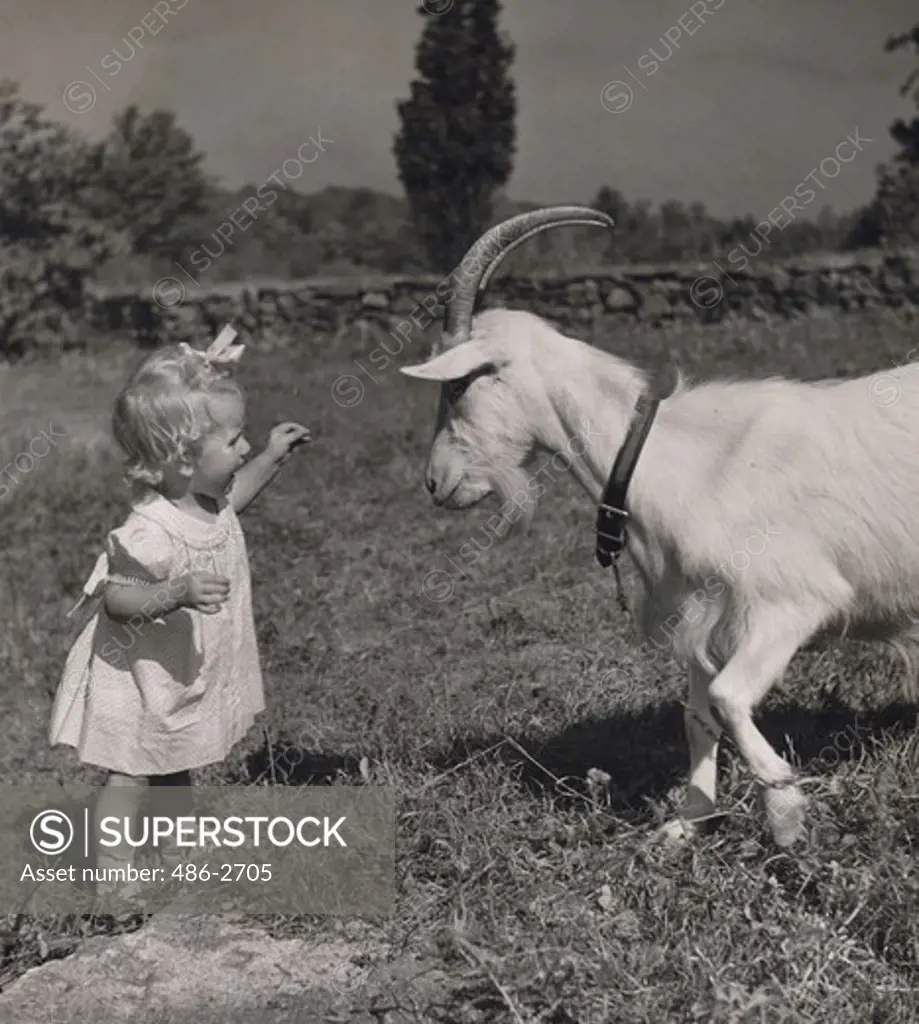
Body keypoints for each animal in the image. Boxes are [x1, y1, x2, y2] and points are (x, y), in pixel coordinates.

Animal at [401, 205, 917, 847]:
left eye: (457, 383)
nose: (435, 482)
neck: (674, 457)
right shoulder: (697, 612)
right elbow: (698, 713)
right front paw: (687, 820)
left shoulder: (789, 600)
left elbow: (727, 696)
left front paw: (785, 810)